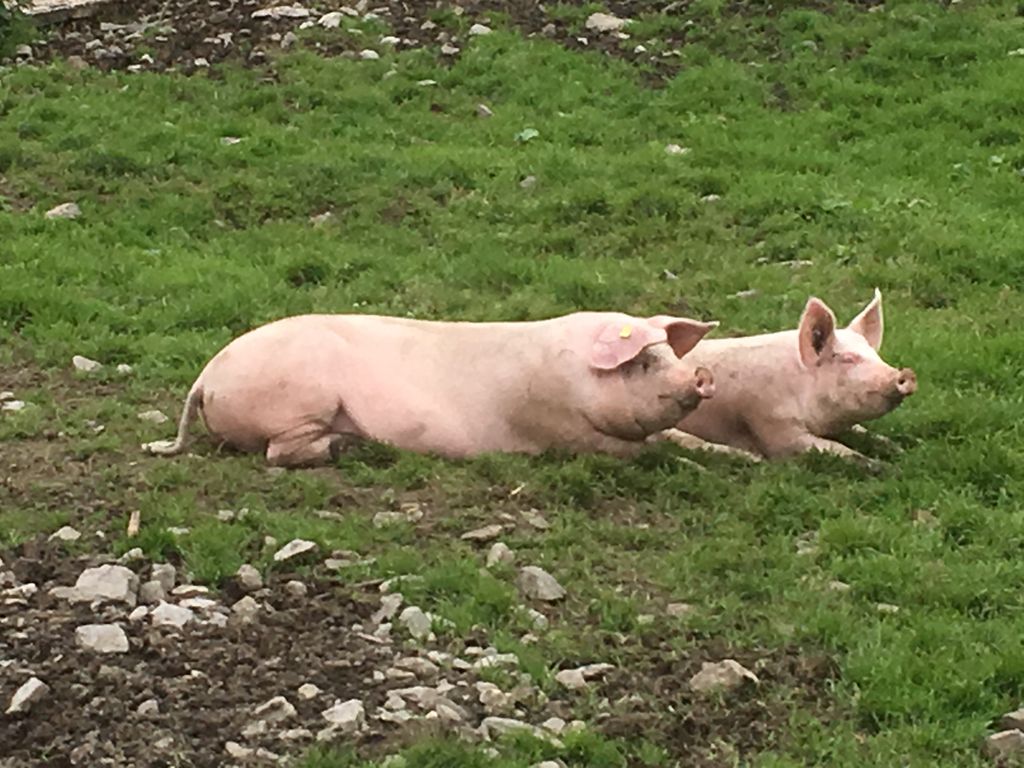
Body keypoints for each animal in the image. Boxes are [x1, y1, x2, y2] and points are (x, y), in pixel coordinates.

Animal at [141, 311, 717, 466]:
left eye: (671, 355)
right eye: (644, 360)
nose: (698, 379)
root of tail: (205, 378)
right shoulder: (561, 430)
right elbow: (644, 449)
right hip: (298, 403)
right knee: (278, 454)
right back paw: (348, 448)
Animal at [667, 290, 917, 465]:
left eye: (875, 355)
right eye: (847, 359)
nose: (903, 374)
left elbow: (868, 434)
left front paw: (904, 448)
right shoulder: (772, 425)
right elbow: (834, 449)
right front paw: (882, 467)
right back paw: (752, 459)